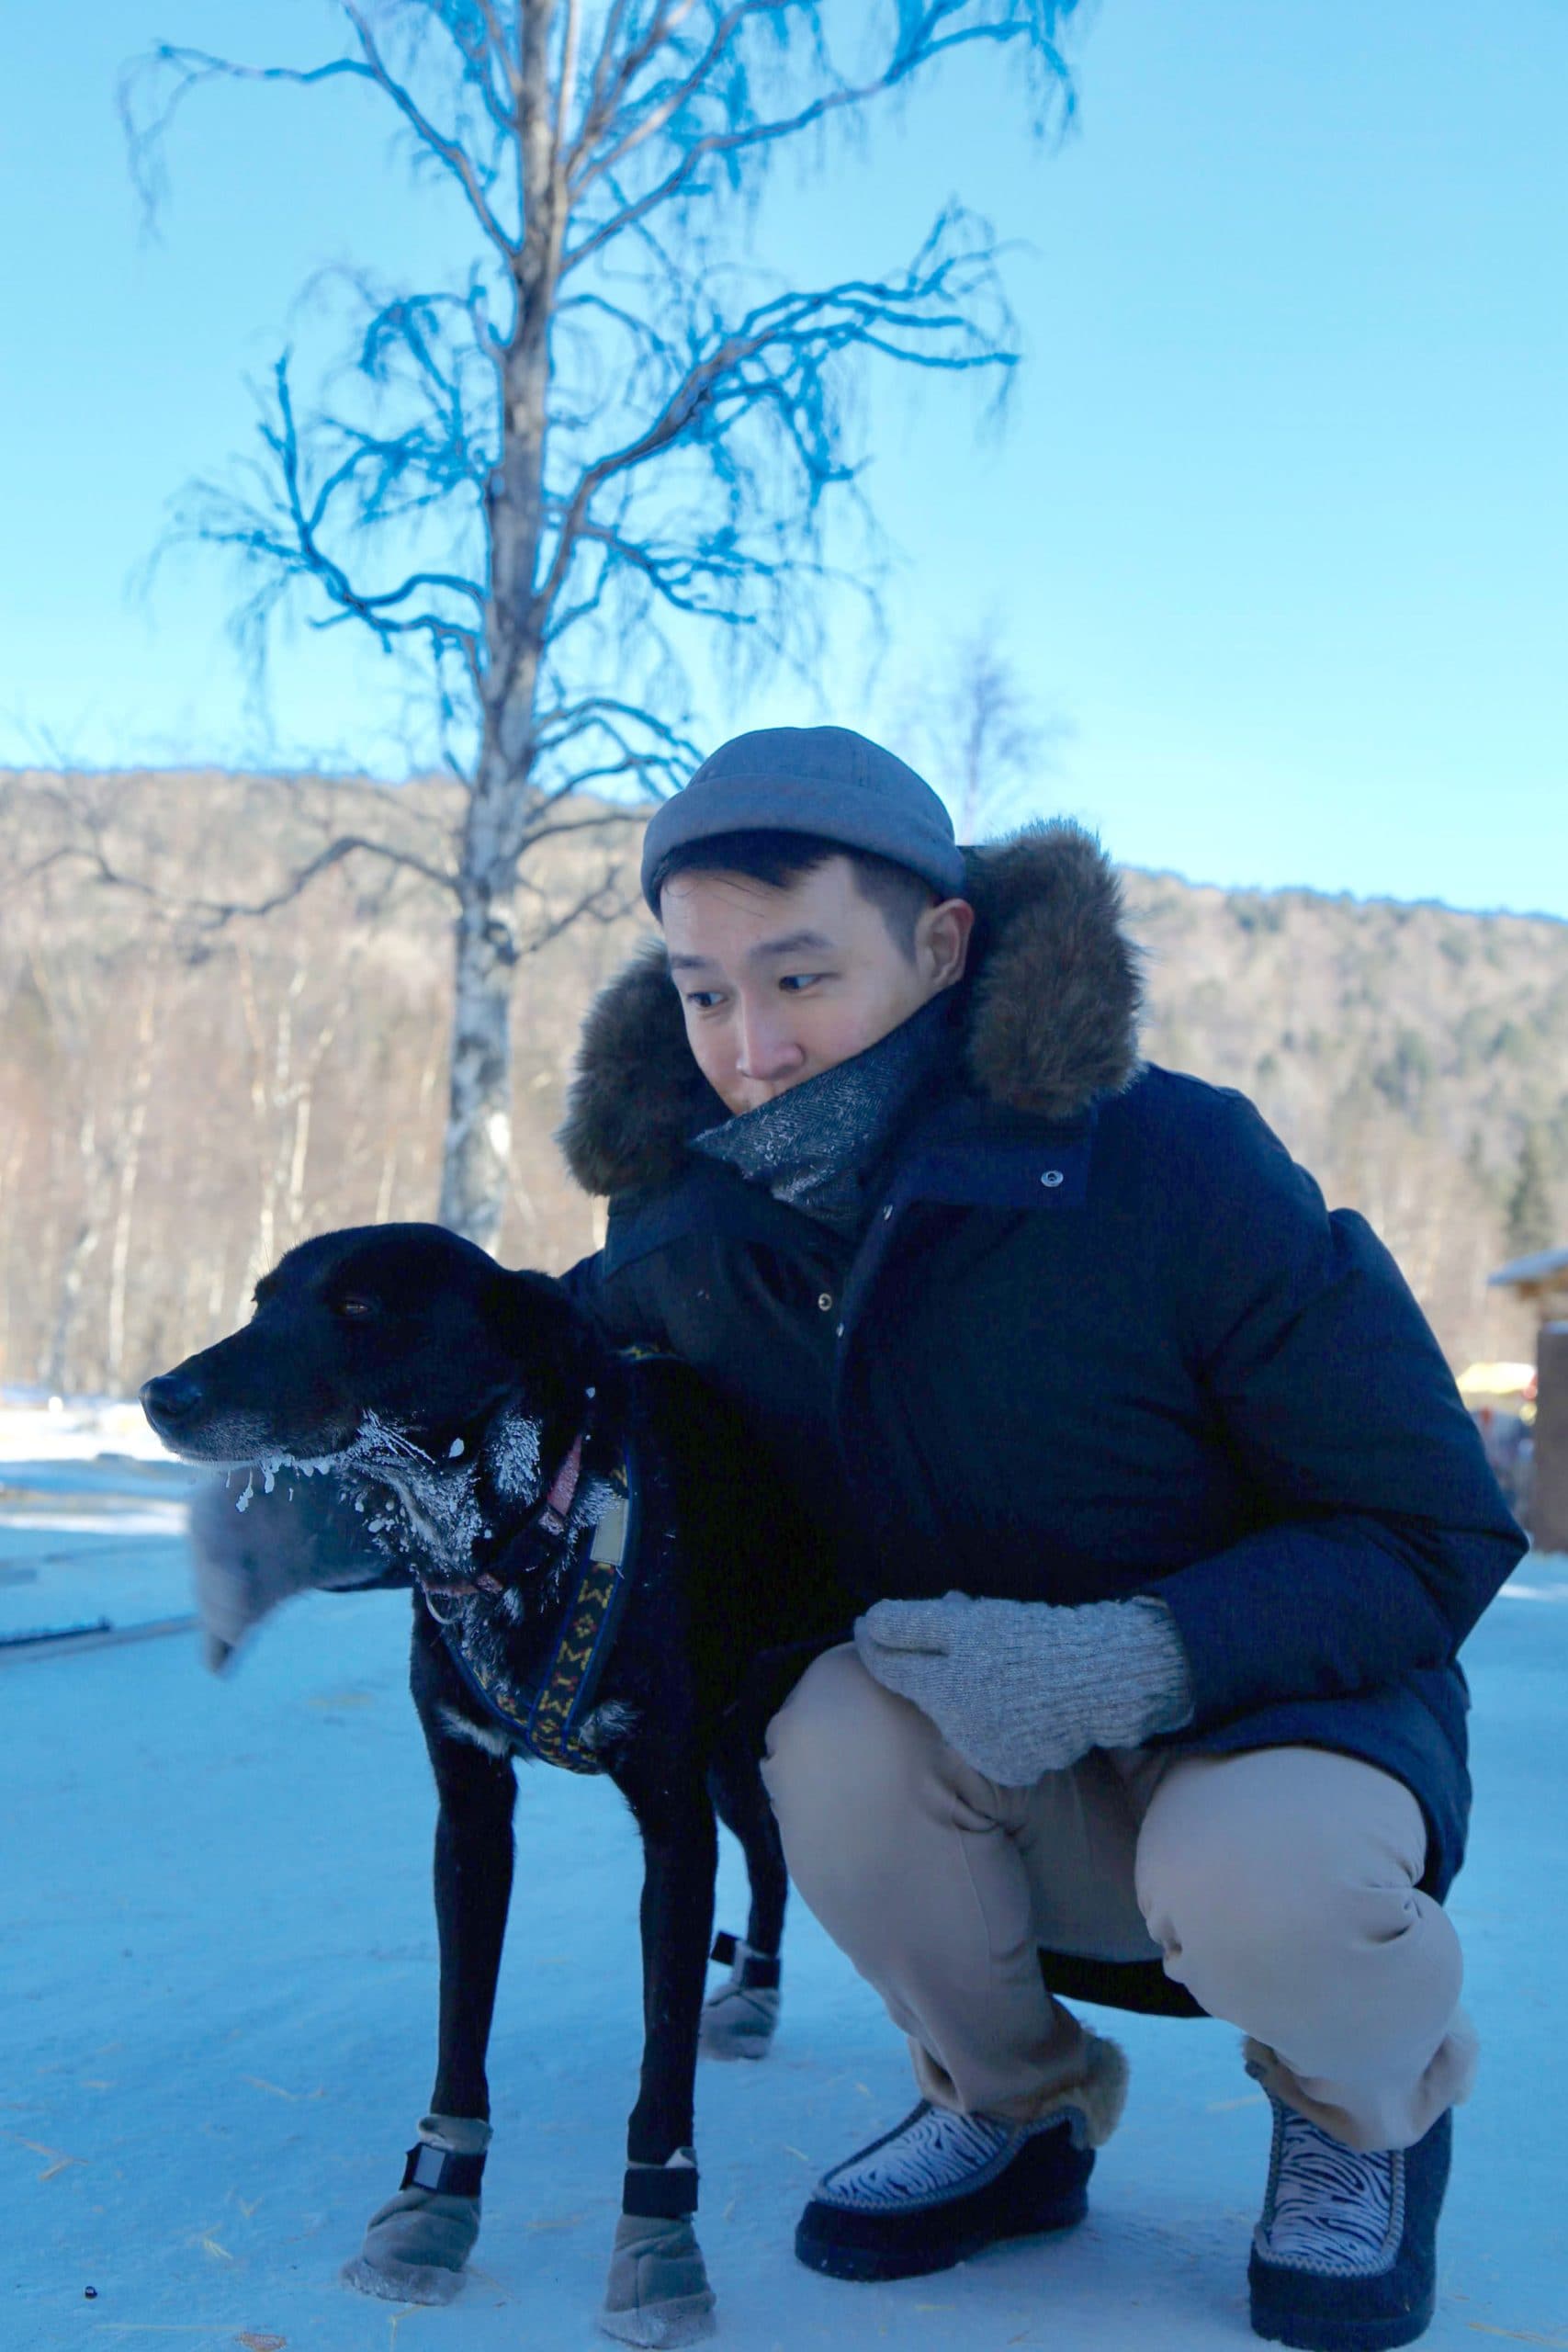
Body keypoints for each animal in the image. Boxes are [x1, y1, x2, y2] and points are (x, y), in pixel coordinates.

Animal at [146, 1223, 846, 2342]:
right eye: (260, 1300)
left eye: (358, 1307)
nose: (163, 1393)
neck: (525, 1541)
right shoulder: (471, 1811)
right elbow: (459, 2030)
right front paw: (434, 2208)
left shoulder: (671, 1829)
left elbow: (660, 2071)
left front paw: (659, 2244)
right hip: (726, 1757)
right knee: (769, 1849)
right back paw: (753, 1991)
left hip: (739, 1744)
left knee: (775, 1846)